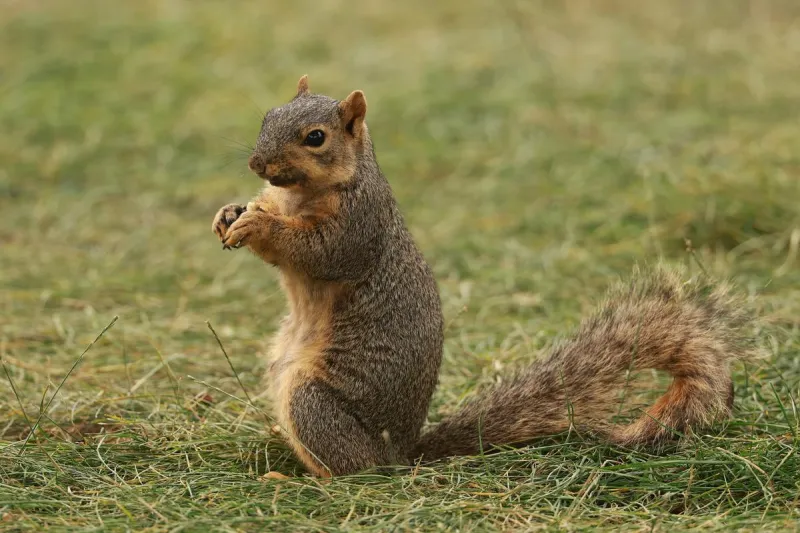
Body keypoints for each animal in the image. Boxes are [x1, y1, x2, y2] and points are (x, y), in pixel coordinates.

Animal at [211, 75, 756, 477]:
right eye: (267, 116)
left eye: (316, 138)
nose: (257, 162)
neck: (299, 195)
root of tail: (400, 456)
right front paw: (229, 213)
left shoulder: (359, 225)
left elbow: (319, 252)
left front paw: (258, 225)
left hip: (314, 403)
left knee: (352, 471)